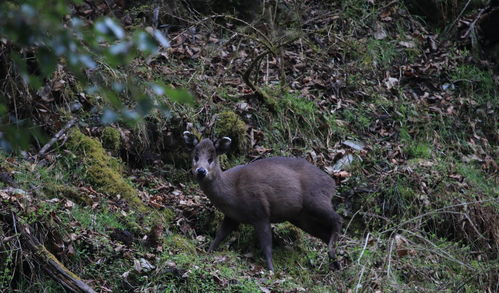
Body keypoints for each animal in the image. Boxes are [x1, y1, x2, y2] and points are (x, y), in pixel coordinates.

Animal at [184, 131, 344, 270]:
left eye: (211, 158)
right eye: (195, 156)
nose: (201, 171)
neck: (232, 193)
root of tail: (332, 183)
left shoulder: (260, 211)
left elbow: (266, 245)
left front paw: (271, 269)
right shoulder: (231, 216)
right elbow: (219, 235)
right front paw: (208, 252)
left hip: (315, 200)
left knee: (337, 218)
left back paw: (332, 254)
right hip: (301, 217)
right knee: (324, 234)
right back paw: (335, 263)